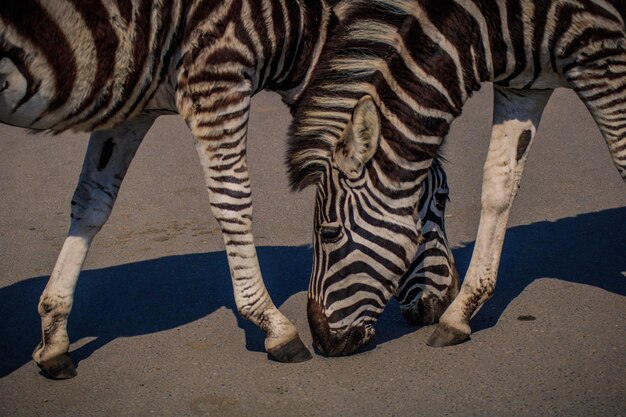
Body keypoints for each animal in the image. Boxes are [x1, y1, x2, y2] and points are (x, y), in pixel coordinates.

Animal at [0, 0, 454, 376]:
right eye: (441, 198)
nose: (442, 303)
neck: (288, 22)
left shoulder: (132, 108)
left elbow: (93, 203)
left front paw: (54, 336)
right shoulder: (217, 76)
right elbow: (233, 199)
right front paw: (273, 325)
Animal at [288, 0, 624, 354]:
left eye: (329, 233)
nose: (320, 342)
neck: (488, 24)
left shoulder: (601, 54)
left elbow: (623, 157)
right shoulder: (523, 89)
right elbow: (498, 185)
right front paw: (459, 314)